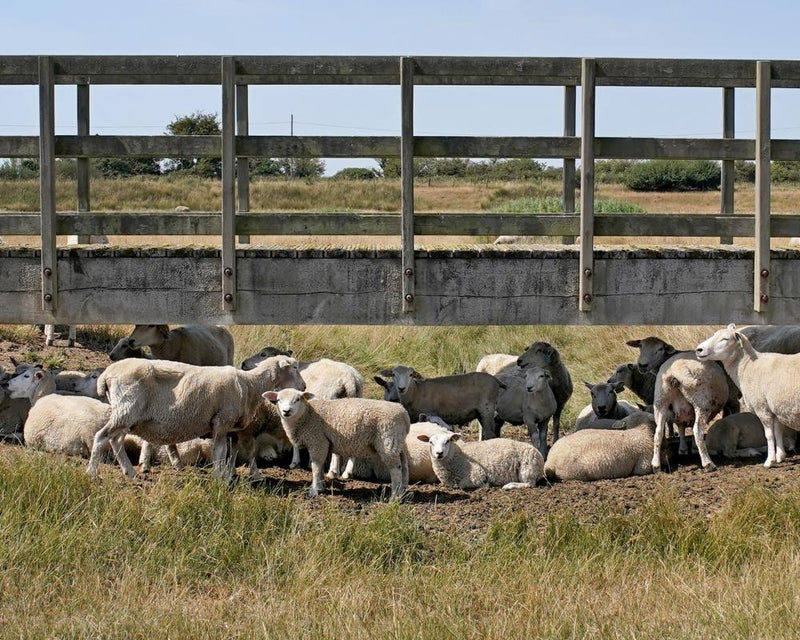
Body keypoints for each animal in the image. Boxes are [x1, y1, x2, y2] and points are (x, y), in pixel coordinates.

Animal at [86, 355, 305, 480]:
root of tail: (107, 374)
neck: (250, 384)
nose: (303, 387)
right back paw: (92, 473)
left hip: (126, 415)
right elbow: (221, 452)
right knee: (101, 437)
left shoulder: (232, 427)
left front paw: (228, 475)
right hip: (126, 409)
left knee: (115, 440)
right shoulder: (222, 421)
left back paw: (129, 472)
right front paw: (221, 478)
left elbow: (232, 453)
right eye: (294, 367)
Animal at [264, 389, 410, 498]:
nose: (286, 411)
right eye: (278, 400)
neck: (307, 415)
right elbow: (320, 466)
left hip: (387, 441)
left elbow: (316, 467)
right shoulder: (323, 444)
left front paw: (314, 490)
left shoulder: (318, 440)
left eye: (298, 399)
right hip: (397, 442)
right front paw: (321, 486)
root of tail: (403, 413)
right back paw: (402, 490)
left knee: (395, 469)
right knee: (404, 465)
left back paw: (395, 496)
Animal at [696, 324, 800, 468]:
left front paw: (770, 461)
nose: (699, 349)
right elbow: (778, 432)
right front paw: (780, 456)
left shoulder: (762, 407)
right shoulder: (775, 408)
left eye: (725, 339)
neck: (748, 366)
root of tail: (710, 442)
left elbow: (769, 435)